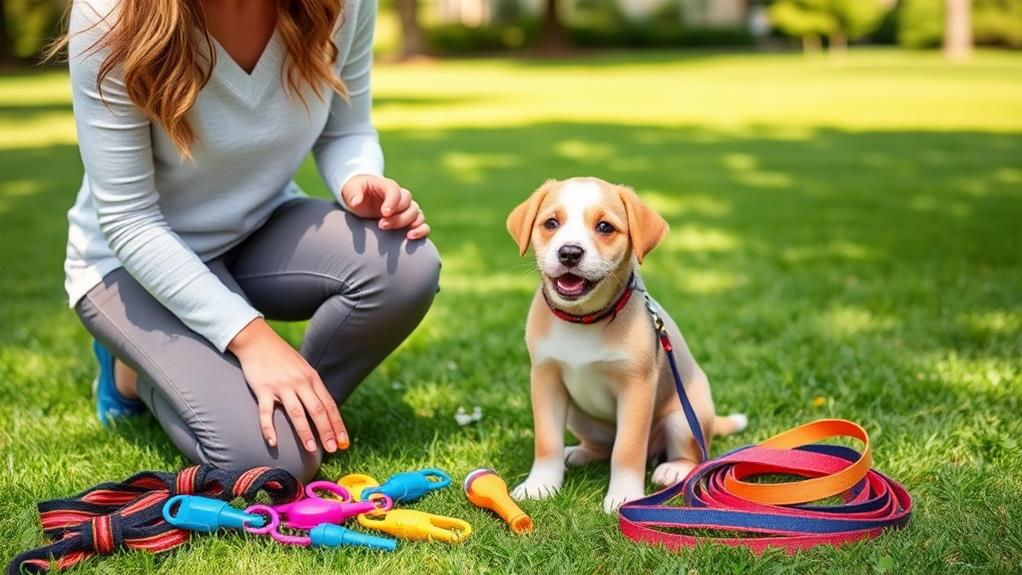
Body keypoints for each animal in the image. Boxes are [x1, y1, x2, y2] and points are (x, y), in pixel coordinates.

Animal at [506, 176, 748, 512]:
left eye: (605, 227)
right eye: (551, 223)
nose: (569, 252)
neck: (585, 320)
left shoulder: (637, 387)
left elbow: (627, 448)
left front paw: (623, 496)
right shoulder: (545, 379)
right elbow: (547, 440)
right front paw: (539, 486)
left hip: (683, 417)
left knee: (692, 455)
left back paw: (673, 469)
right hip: (579, 416)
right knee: (603, 446)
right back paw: (579, 453)